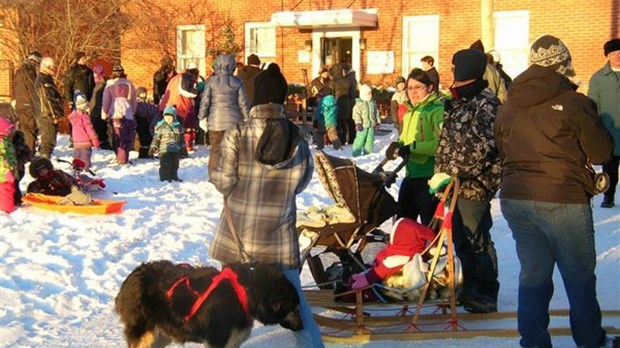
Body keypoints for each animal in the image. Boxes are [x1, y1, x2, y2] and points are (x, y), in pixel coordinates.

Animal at [115, 260, 304, 348]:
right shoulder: (217, 343)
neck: (244, 292)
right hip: (145, 334)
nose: (302, 327)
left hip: (161, 334)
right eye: (294, 309)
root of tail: (129, 279)